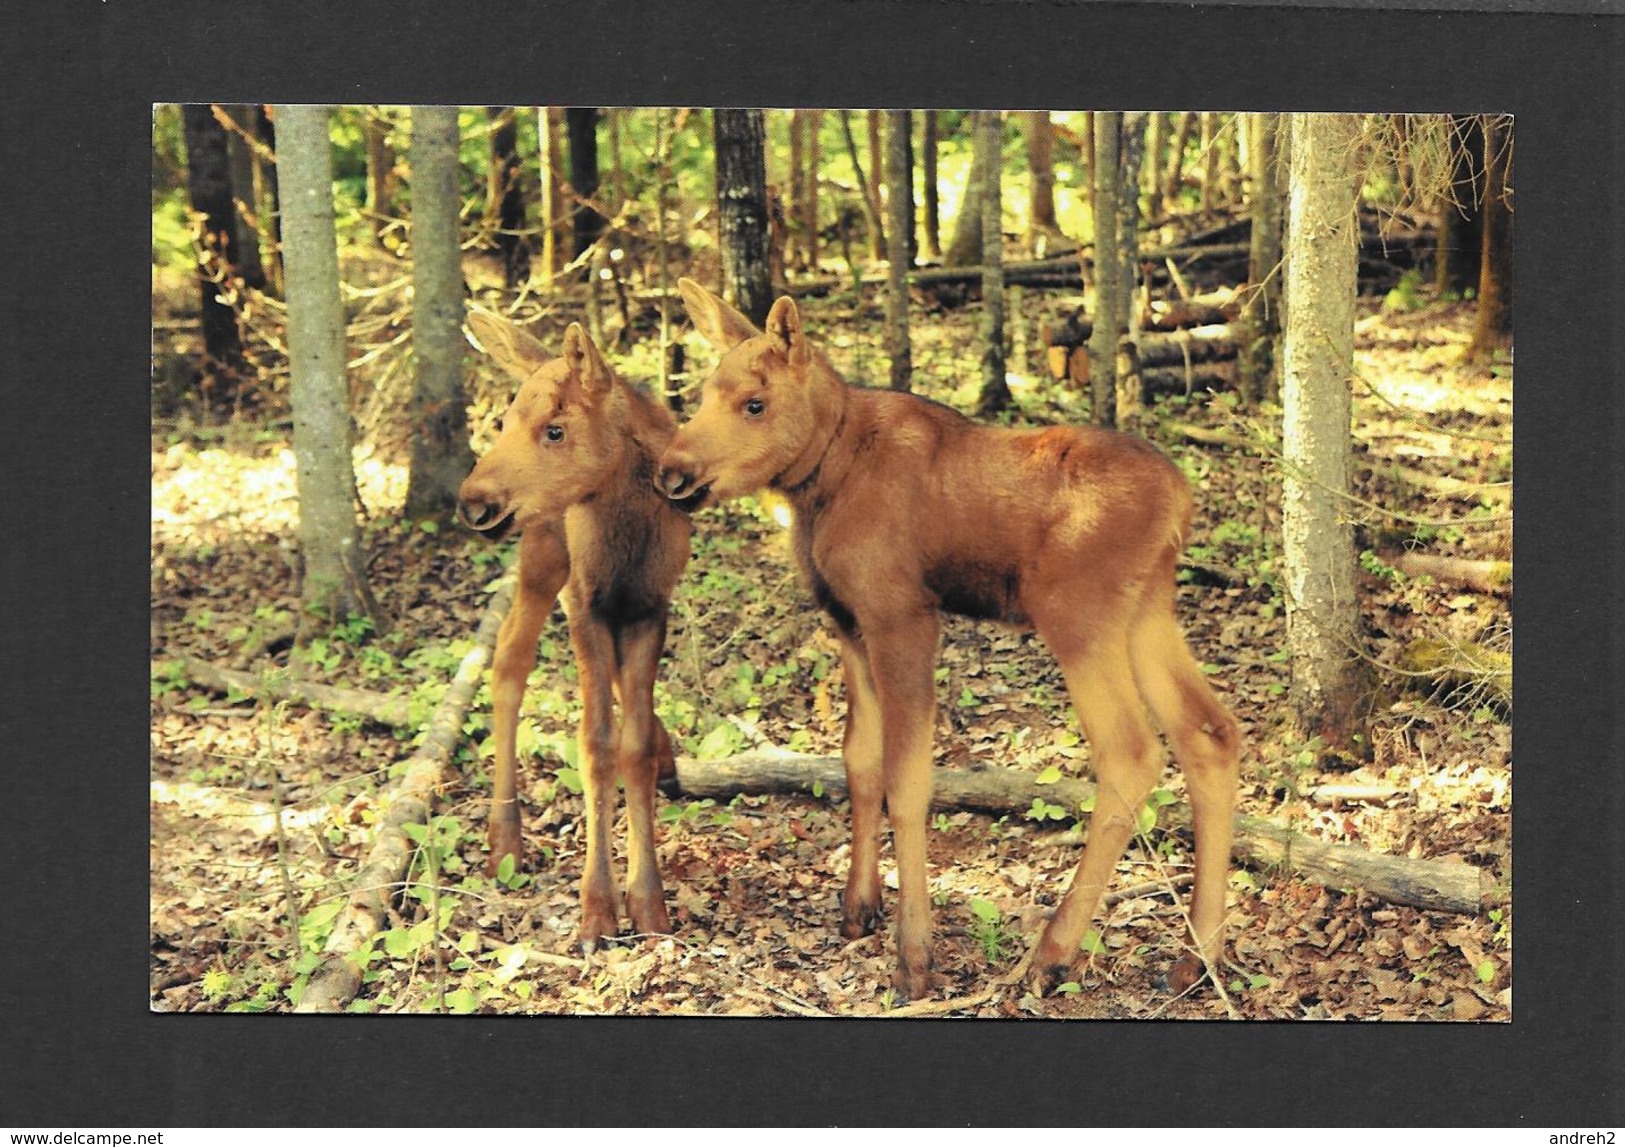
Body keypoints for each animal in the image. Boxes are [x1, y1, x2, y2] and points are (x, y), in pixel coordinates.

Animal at [458, 315, 692, 948]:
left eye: (555, 430)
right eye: (504, 422)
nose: (472, 503)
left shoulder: (649, 608)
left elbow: (633, 745)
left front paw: (649, 904)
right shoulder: (583, 604)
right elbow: (595, 744)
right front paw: (597, 909)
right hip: (542, 552)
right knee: (509, 659)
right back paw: (505, 837)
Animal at [659, 281, 1241, 994]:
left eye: (754, 403)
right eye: (703, 394)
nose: (671, 473)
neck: (822, 480)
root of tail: (1184, 500)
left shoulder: (904, 615)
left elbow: (908, 782)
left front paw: (915, 956)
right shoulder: (849, 621)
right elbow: (859, 763)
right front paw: (858, 907)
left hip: (1078, 615)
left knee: (1132, 752)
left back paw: (1053, 952)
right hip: (1147, 611)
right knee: (1209, 734)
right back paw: (1198, 956)